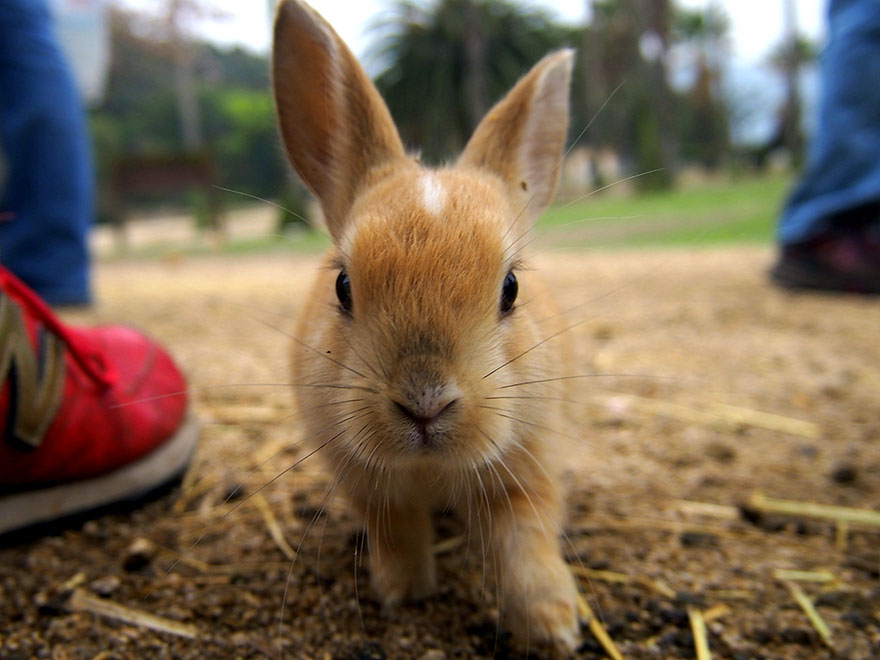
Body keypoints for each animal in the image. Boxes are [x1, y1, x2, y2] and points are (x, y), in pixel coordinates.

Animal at [272, 0, 580, 653]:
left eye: (511, 289)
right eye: (343, 286)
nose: (424, 402)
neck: (431, 467)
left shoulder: (529, 464)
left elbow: (526, 540)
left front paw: (553, 627)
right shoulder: (367, 483)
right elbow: (396, 532)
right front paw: (405, 595)